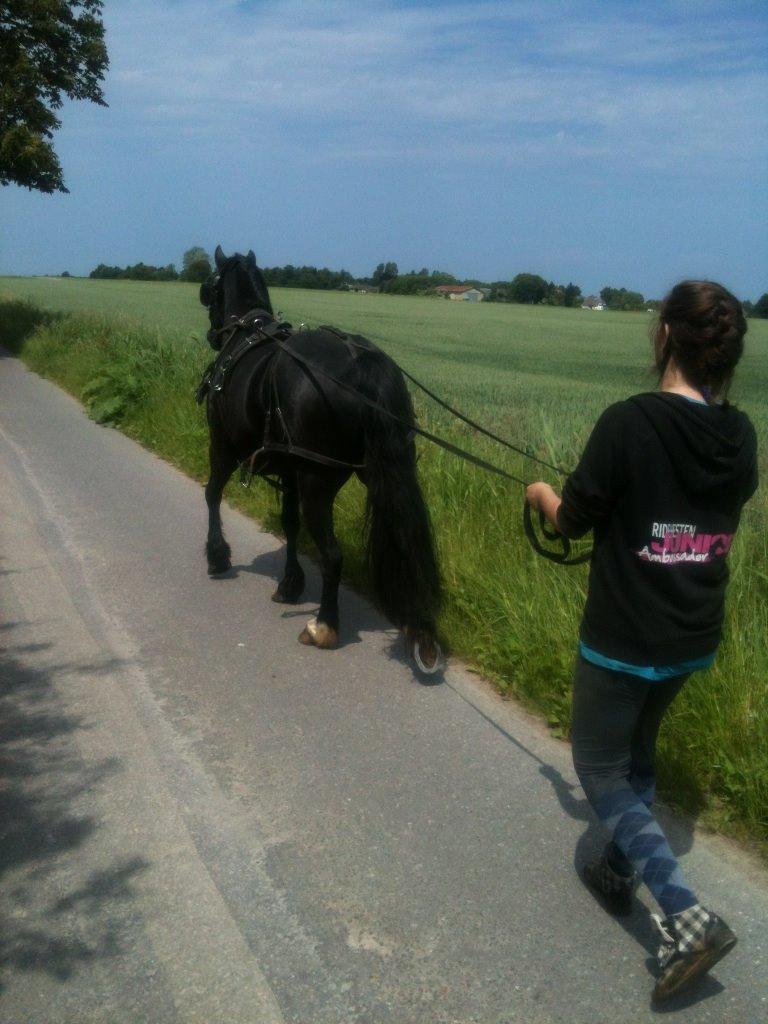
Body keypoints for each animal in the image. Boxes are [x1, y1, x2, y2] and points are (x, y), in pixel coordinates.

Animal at [198, 247, 442, 671]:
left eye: (209, 289)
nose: (215, 335)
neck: (248, 331)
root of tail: (360, 360)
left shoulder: (224, 447)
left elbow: (212, 494)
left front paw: (218, 556)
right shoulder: (290, 471)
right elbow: (289, 524)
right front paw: (290, 583)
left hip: (317, 481)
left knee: (332, 555)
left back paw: (325, 626)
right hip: (384, 473)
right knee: (405, 539)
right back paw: (419, 627)